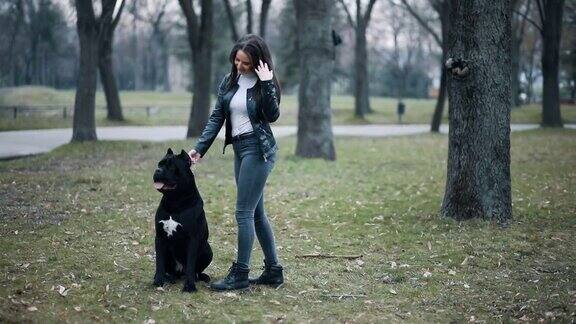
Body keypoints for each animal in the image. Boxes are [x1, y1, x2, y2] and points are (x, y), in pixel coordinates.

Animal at [152, 148, 213, 292]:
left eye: (171, 166)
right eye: (159, 164)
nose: (157, 170)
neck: (175, 200)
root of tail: (180, 272)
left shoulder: (192, 239)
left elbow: (191, 265)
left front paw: (190, 286)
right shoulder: (160, 238)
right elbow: (159, 262)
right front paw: (158, 280)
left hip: (207, 249)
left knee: (195, 271)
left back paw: (200, 277)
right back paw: (169, 277)